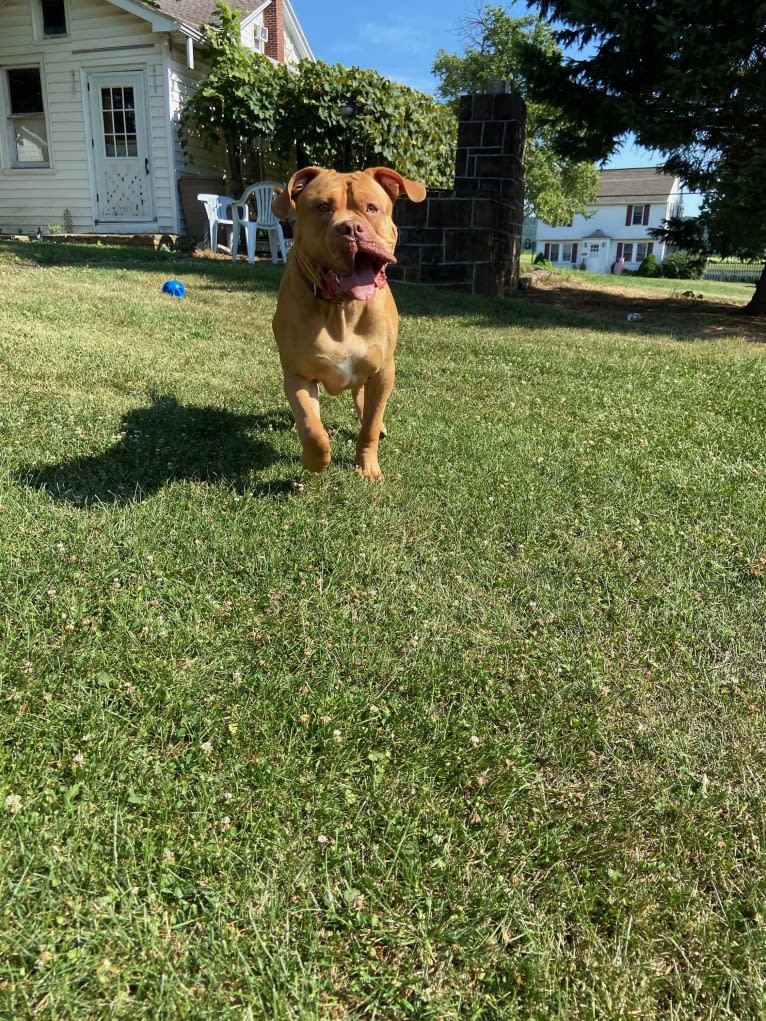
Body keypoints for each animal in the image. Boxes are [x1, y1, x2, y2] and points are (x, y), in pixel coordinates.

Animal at [271, 168, 428, 481]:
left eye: (371, 208)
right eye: (322, 207)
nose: (352, 229)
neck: (341, 307)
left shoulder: (383, 372)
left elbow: (369, 424)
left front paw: (367, 466)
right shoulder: (298, 374)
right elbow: (312, 427)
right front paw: (314, 461)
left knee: (363, 401)